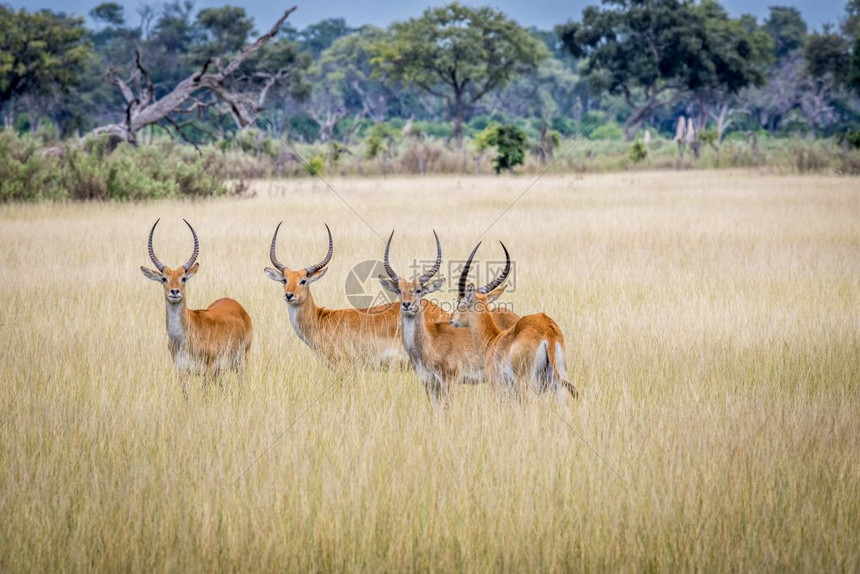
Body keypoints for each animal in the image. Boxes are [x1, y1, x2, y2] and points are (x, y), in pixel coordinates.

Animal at [140, 220, 252, 382]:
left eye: (184, 278)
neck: (183, 338)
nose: (175, 291)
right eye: (164, 278)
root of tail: (237, 305)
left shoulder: (208, 371)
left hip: (241, 363)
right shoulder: (181, 372)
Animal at [376, 230, 516, 404]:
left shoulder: (450, 381)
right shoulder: (429, 384)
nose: (406, 304)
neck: (429, 343)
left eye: (419, 290)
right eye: (399, 290)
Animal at [450, 243, 576, 404]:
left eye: (460, 302)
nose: (451, 320)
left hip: (526, 385)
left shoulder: (496, 387)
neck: (493, 340)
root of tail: (548, 332)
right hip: (559, 381)